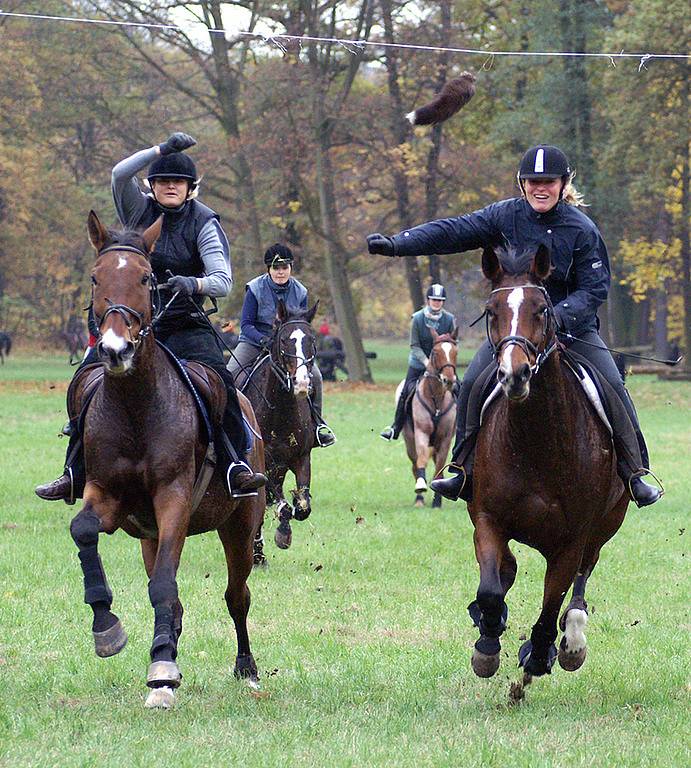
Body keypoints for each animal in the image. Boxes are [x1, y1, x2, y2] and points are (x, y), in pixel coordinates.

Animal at [64, 210, 264, 708]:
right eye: (95, 277)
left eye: (145, 277)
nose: (115, 350)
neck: (136, 405)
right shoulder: (108, 496)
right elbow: (84, 531)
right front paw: (108, 630)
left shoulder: (173, 499)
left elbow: (165, 586)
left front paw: (161, 671)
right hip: (148, 538)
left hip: (239, 524)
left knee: (237, 595)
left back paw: (246, 668)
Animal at [400, 328, 460, 508]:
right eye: (435, 352)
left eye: (455, 352)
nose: (448, 380)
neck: (436, 398)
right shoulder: (421, 433)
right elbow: (421, 460)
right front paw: (421, 486)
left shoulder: (445, 438)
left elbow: (439, 467)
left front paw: (437, 501)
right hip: (409, 440)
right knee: (415, 464)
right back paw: (419, 498)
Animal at [468, 243, 628, 692]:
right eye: (491, 311)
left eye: (542, 310)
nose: (514, 374)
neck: (535, 441)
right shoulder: (488, 519)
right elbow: (491, 588)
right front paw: (487, 644)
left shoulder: (571, 541)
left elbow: (550, 604)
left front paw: (539, 654)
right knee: (507, 572)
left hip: (605, 526)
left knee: (580, 585)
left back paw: (571, 641)